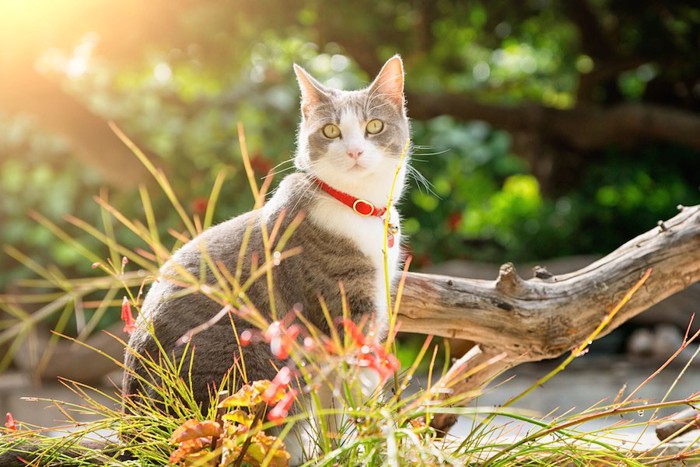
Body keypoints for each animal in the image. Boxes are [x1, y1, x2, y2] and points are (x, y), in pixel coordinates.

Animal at [121, 55, 410, 464]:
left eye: (374, 126)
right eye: (331, 131)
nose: (355, 152)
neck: (354, 204)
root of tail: (133, 437)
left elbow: (332, 410)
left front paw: (334, 450)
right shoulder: (346, 319)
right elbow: (360, 394)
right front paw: (370, 448)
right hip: (259, 363)